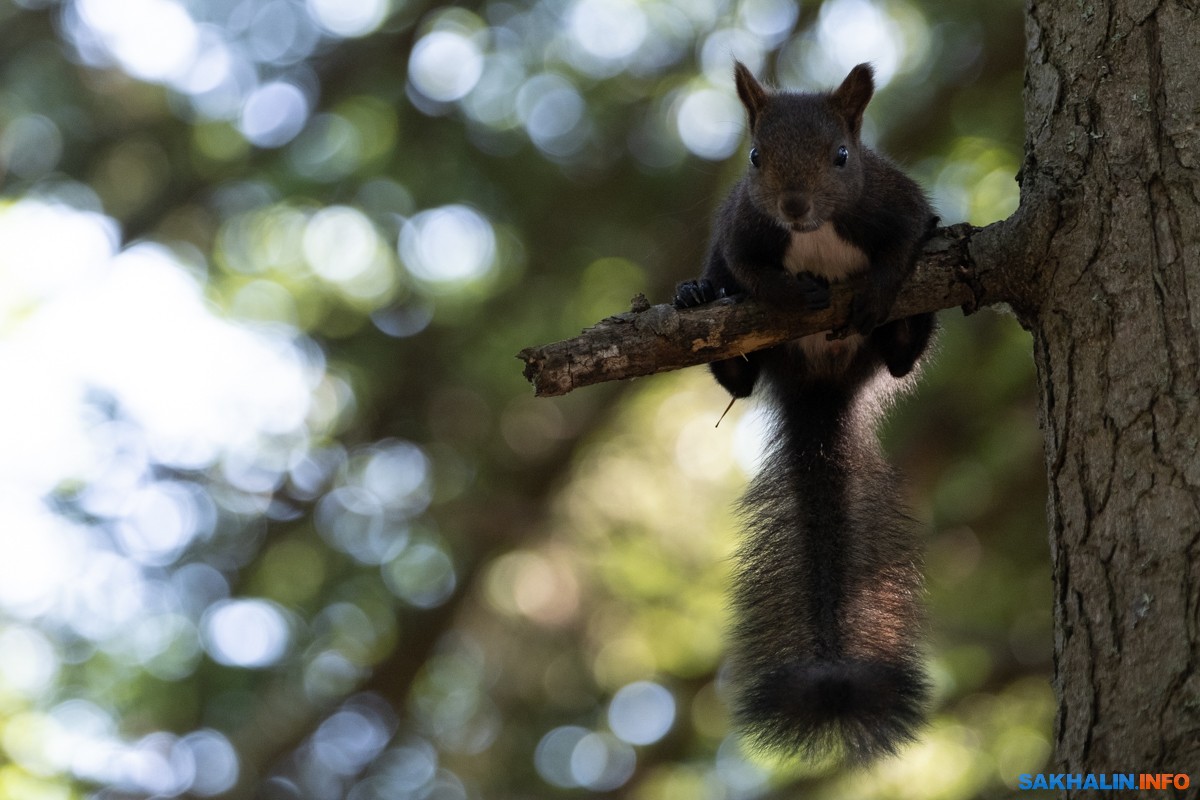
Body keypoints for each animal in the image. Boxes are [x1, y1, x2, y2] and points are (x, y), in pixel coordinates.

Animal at [676, 59, 936, 762]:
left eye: (842, 155)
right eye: (755, 156)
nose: (793, 207)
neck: (813, 235)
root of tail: (821, 384)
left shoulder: (895, 201)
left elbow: (906, 241)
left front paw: (877, 290)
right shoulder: (741, 229)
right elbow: (747, 270)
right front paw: (786, 293)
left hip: (893, 352)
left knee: (902, 362)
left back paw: (909, 328)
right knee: (737, 378)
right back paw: (695, 297)